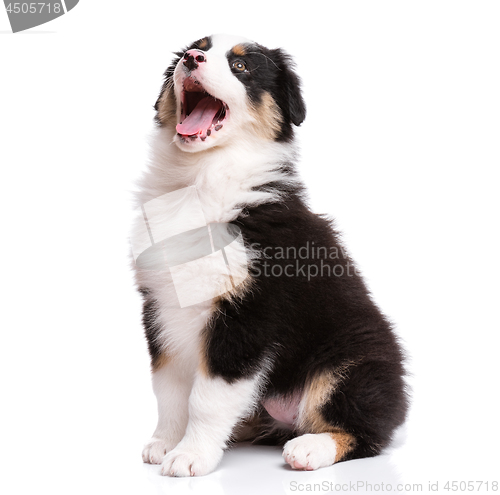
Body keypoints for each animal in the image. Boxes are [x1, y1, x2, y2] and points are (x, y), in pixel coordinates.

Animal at [131, 34, 408, 476]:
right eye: (197, 46)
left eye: (241, 67)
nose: (192, 58)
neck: (199, 181)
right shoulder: (159, 306)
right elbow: (169, 388)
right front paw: (165, 442)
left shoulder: (250, 315)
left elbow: (207, 398)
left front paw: (191, 455)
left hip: (352, 361)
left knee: (365, 431)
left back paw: (309, 449)